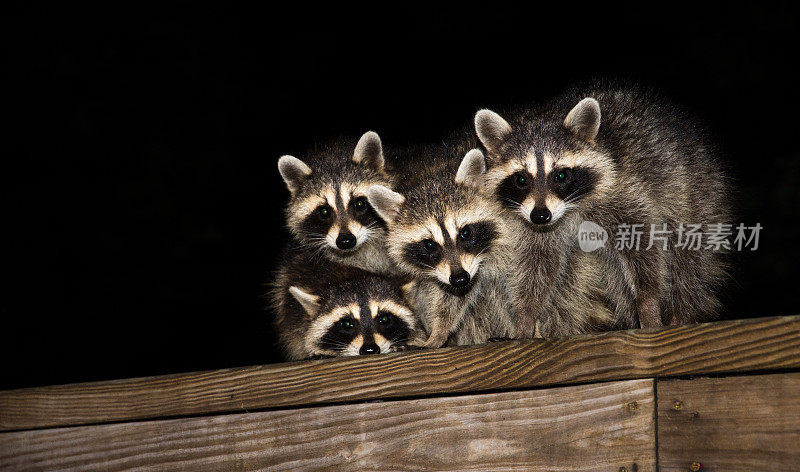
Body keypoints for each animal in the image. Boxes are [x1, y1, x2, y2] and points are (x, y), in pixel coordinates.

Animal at [368, 136, 520, 346]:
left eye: (465, 233)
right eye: (429, 244)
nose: (460, 278)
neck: (432, 174)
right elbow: (449, 297)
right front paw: (439, 331)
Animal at [476, 84, 732, 336]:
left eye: (561, 175)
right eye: (521, 179)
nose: (540, 216)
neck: (570, 208)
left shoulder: (623, 190)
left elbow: (643, 247)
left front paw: (648, 302)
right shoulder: (538, 225)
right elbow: (537, 264)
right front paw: (526, 316)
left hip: (694, 194)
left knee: (687, 259)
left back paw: (681, 310)